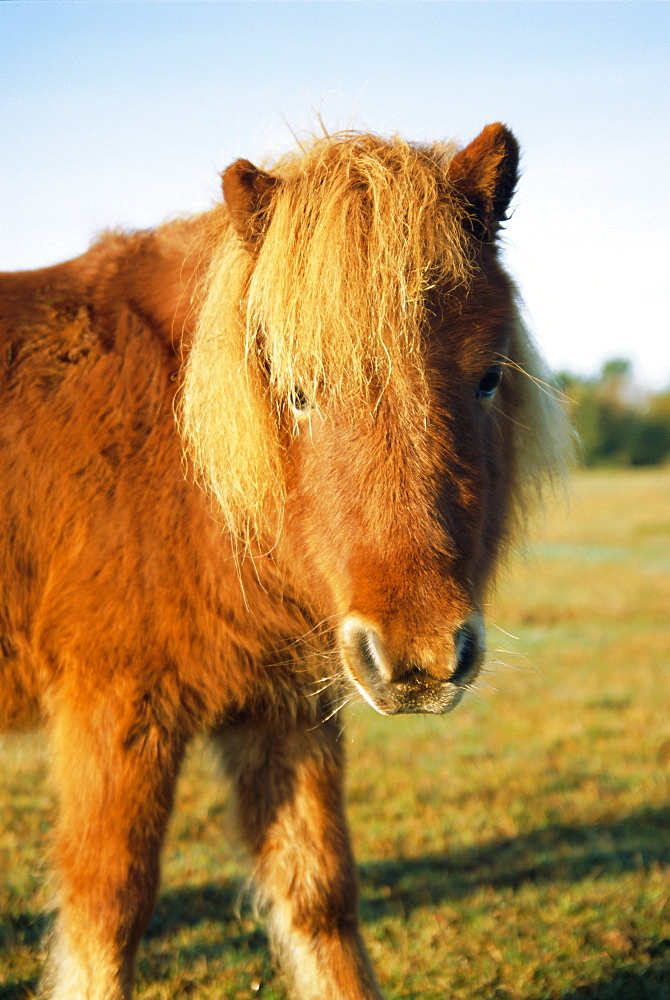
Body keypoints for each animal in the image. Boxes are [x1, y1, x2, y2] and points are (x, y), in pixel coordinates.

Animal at [0, 127, 568, 1000]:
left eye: (488, 377)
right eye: (297, 392)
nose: (420, 658)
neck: (179, 465)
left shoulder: (286, 709)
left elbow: (319, 900)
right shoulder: (113, 711)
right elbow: (108, 915)